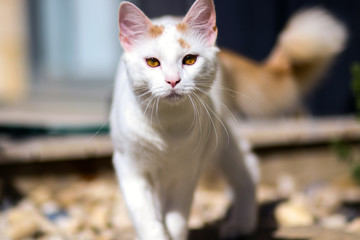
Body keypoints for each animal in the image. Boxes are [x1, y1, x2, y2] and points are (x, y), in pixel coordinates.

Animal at [111, 0, 348, 240]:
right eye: (152, 62)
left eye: (189, 60)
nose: (173, 80)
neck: (166, 126)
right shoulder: (130, 168)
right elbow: (147, 218)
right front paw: (155, 233)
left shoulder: (186, 172)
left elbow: (176, 219)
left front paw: (174, 233)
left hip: (219, 141)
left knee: (249, 166)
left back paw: (241, 224)